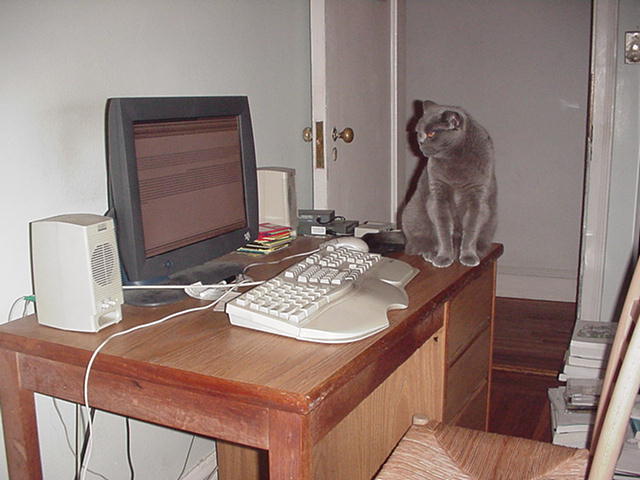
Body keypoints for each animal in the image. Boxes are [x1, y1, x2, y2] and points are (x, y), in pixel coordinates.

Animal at [402, 100, 498, 268]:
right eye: (418, 133)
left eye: (431, 134)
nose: (420, 143)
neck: (454, 158)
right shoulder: (439, 194)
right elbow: (443, 229)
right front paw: (444, 257)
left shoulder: (477, 197)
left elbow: (471, 230)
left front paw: (468, 257)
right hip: (412, 214)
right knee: (419, 244)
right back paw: (431, 253)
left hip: (490, 217)